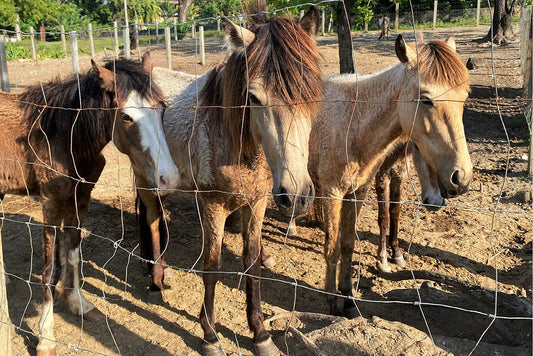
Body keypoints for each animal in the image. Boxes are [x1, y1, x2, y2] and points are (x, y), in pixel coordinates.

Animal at [0, 53, 179, 356]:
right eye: (126, 116)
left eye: (161, 109)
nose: (169, 178)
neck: (63, 137)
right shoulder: (50, 203)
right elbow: (49, 270)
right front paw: (46, 337)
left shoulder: (80, 198)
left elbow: (72, 253)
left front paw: (78, 304)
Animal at [135, 7, 322, 356]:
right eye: (254, 97)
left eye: (313, 92)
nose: (297, 196)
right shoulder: (212, 205)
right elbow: (212, 266)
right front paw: (209, 335)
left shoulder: (257, 204)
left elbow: (252, 263)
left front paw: (260, 333)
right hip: (147, 178)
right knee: (150, 217)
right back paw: (154, 277)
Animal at [310, 34, 472, 318]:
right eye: (426, 99)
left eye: (464, 97)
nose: (460, 178)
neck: (352, 123)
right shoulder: (332, 193)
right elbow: (331, 247)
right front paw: (331, 302)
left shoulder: (357, 192)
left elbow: (348, 244)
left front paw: (348, 298)